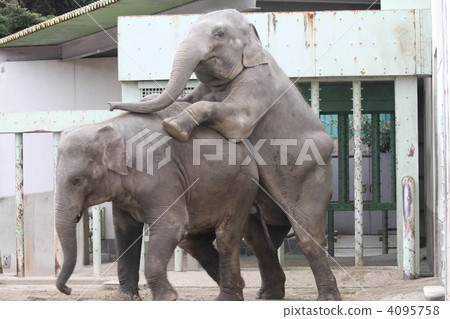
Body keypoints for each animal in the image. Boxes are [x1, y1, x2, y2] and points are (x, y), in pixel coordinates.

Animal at [54, 103, 264, 302]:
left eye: (76, 181)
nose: (68, 290)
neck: (111, 125)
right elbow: (125, 231)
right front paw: (125, 297)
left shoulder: (159, 174)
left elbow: (172, 224)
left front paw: (167, 297)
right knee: (194, 241)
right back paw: (240, 287)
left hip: (241, 186)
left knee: (225, 236)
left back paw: (228, 296)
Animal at [109, 8, 342, 302]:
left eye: (218, 34)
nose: (110, 104)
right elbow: (186, 100)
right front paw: (151, 104)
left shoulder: (258, 84)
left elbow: (237, 120)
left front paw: (174, 127)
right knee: (258, 238)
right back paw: (267, 294)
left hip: (312, 176)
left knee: (307, 234)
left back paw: (327, 297)